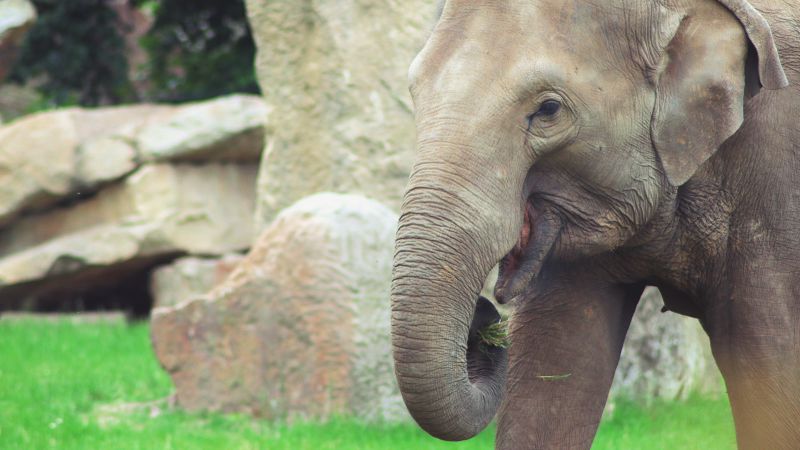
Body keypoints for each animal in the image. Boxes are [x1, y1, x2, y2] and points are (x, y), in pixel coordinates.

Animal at [390, 0, 800, 448]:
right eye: (414, 93)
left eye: (548, 109)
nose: (485, 318)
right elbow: (555, 364)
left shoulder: (773, 189)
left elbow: (769, 369)